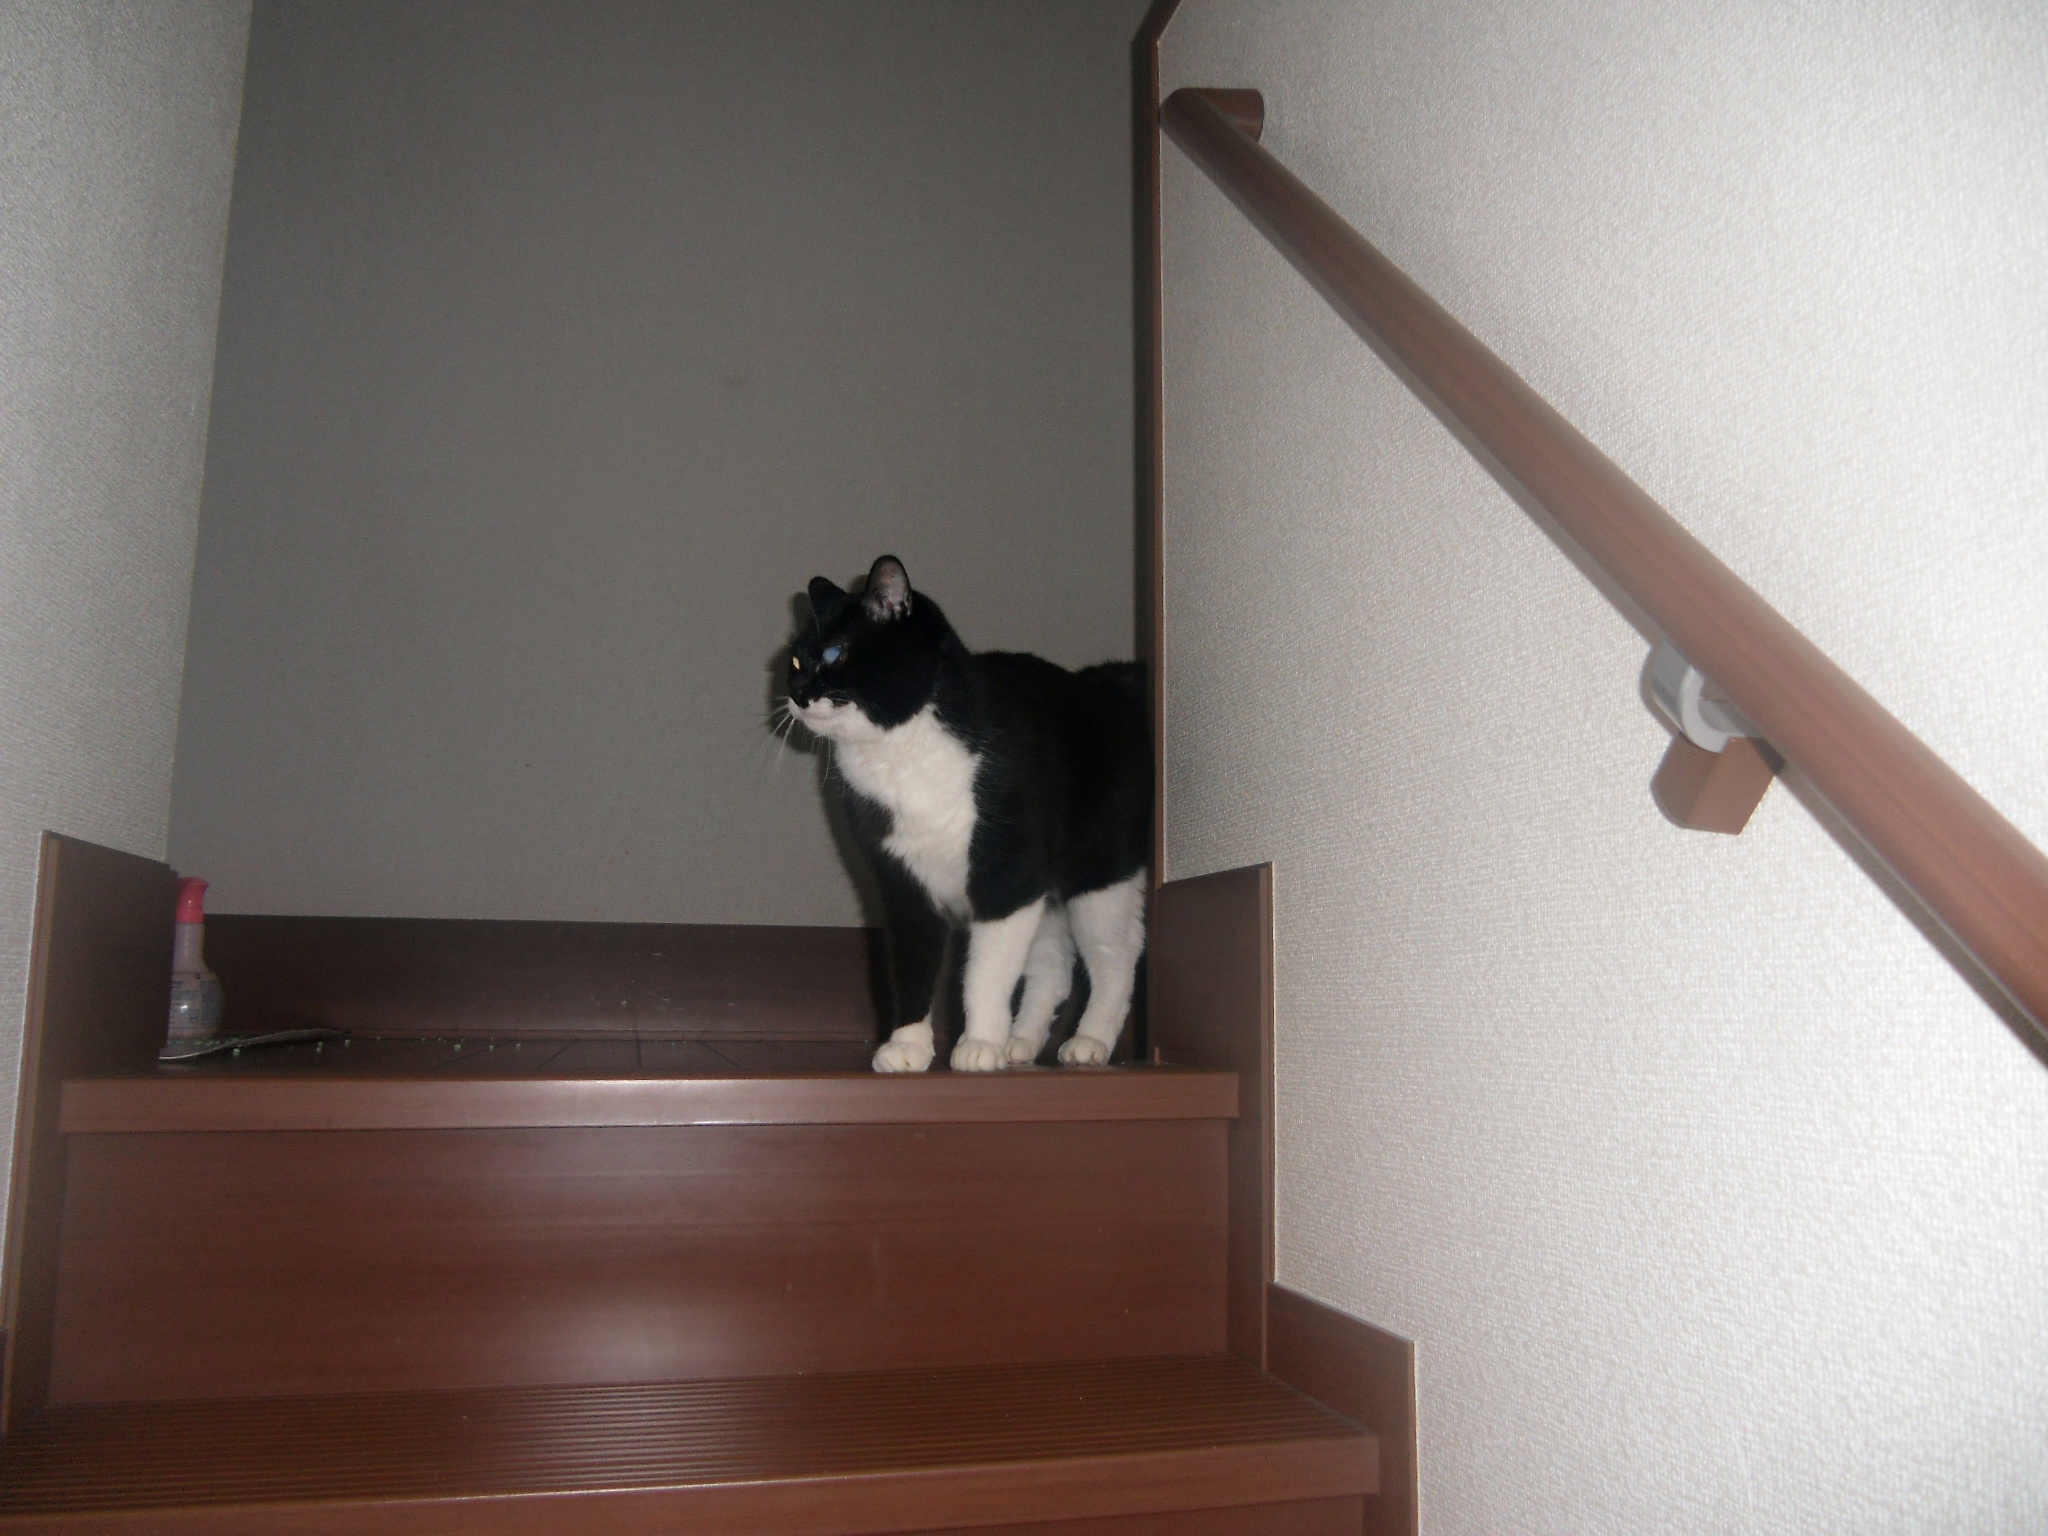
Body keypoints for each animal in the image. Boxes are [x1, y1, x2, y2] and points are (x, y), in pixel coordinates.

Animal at [784, 555, 1151, 1072]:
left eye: (835, 652)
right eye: (795, 660)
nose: (796, 692)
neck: (903, 752)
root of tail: (1110, 684)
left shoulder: (1005, 876)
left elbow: (985, 972)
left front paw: (978, 1044)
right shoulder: (902, 882)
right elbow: (913, 964)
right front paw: (908, 1046)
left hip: (1100, 876)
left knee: (1116, 957)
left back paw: (1089, 1040)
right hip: (1045, 887)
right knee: (1054, 968)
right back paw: (1020, 1043)